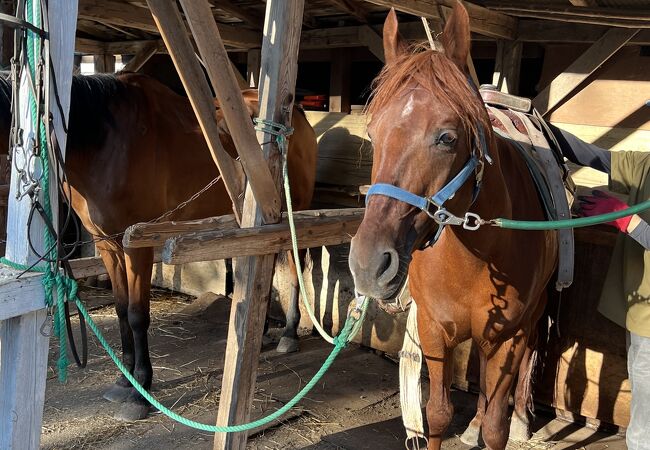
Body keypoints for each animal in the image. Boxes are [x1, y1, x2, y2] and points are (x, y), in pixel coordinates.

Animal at [0, 72, 316, 420]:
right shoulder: (108, 246)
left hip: (292, 214)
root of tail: (297, 115)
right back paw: (262, 334)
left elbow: (137, 315)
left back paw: (289, 334)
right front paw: (124, 381)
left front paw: (141, 389)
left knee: (295, 268)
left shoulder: (136, 247)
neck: (105, 142)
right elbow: (121, 311)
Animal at [346, 4, 556, 450]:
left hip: (533, 315)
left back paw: (520, 418)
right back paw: (472, 424)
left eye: (446, 137)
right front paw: (464, 423)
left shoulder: (508, 338)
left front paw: (501, 424)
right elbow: (439, 414)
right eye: (373, 133)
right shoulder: (433, 330)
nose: (369, 265)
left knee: (526, 361)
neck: (478, 254)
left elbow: (496, 426)